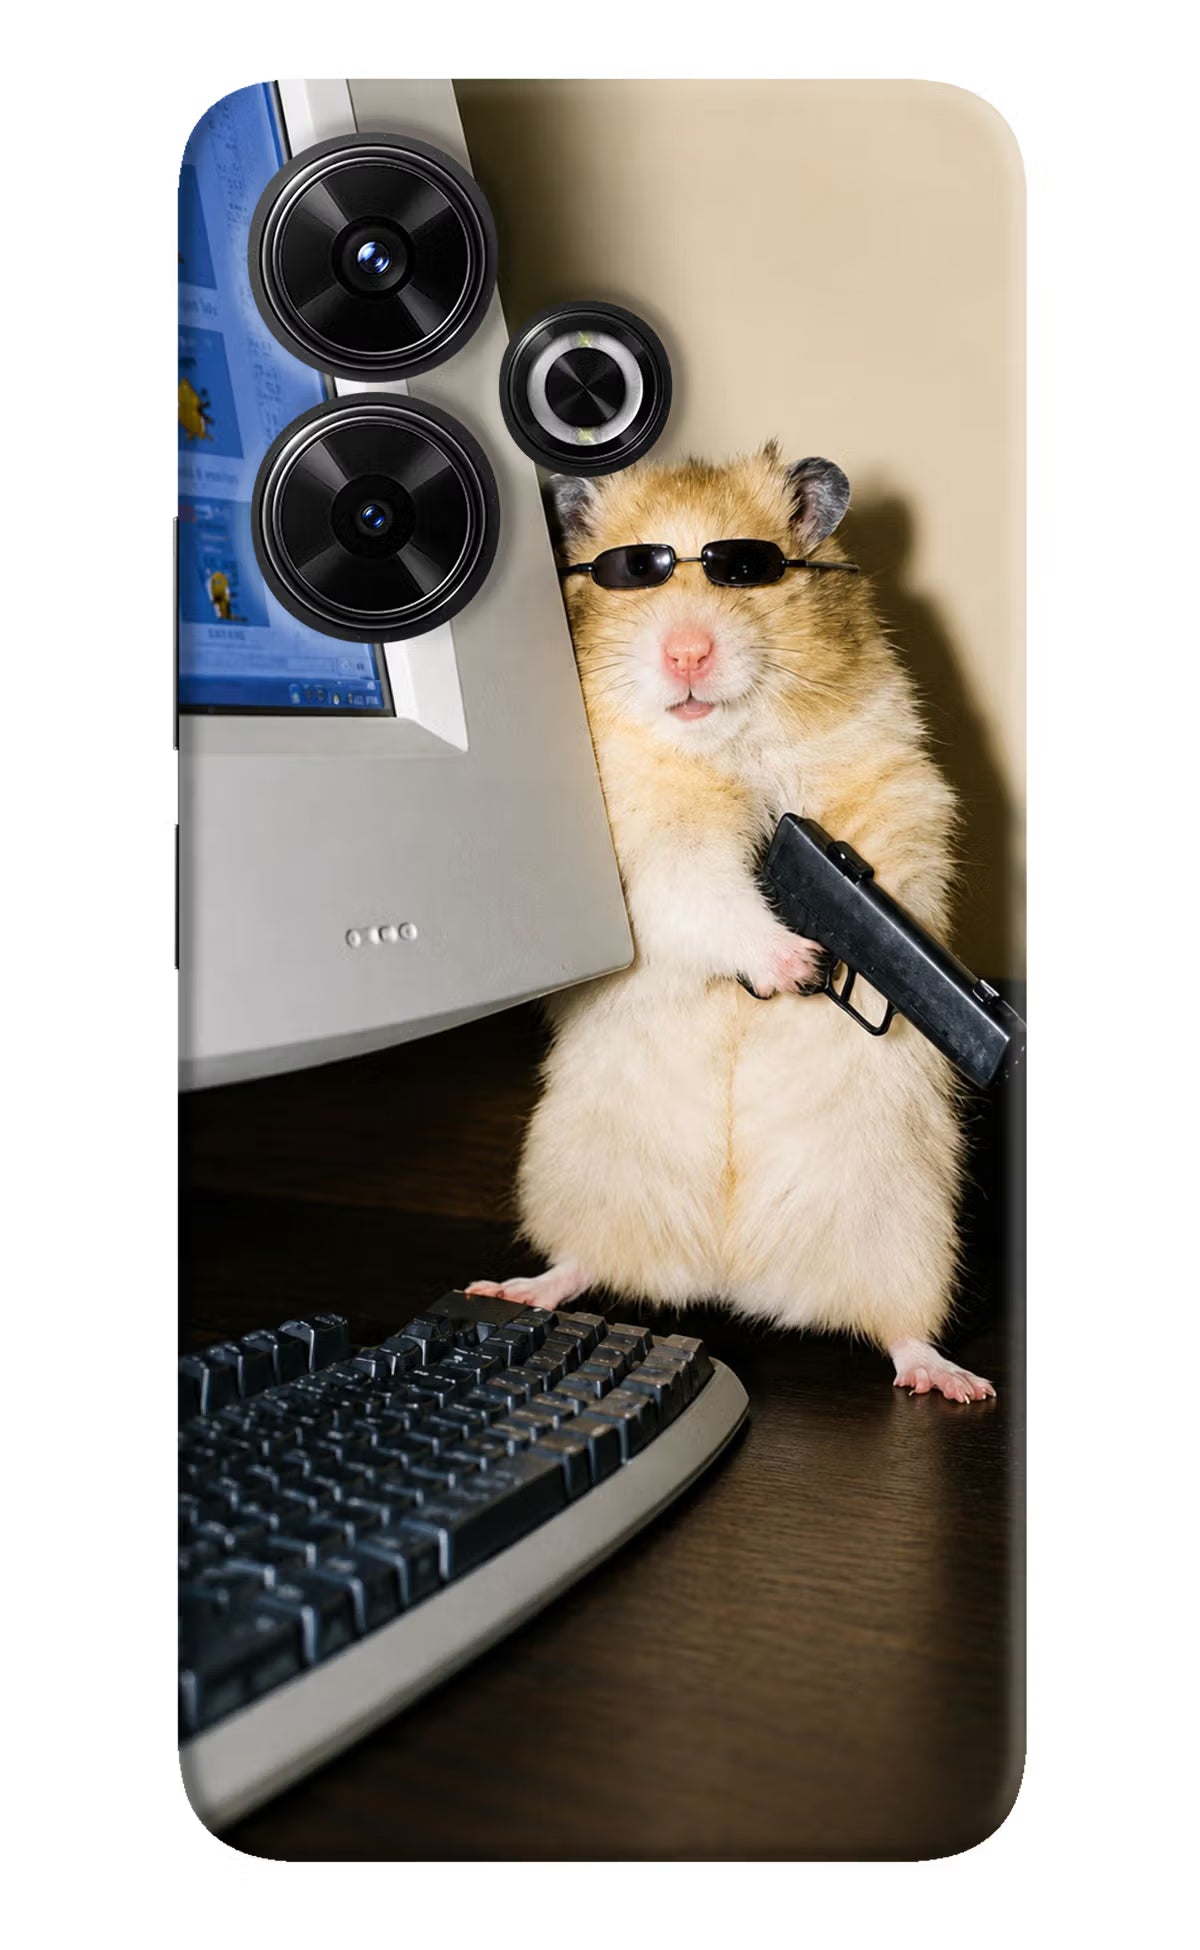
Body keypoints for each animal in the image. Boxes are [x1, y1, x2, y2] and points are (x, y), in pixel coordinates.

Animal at [468, 444, 993, 1402]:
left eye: (746, 570)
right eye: (633, 573)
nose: (686, 652)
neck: (725, 745)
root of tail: (730, 1276)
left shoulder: (894, 789)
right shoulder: (649, 850)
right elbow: (708, 895)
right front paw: (797, 964)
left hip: (907, 1229)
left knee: (900, 1329)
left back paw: (954, 1381)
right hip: (579, 1176)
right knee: (582, 1263)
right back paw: (514, 1288)